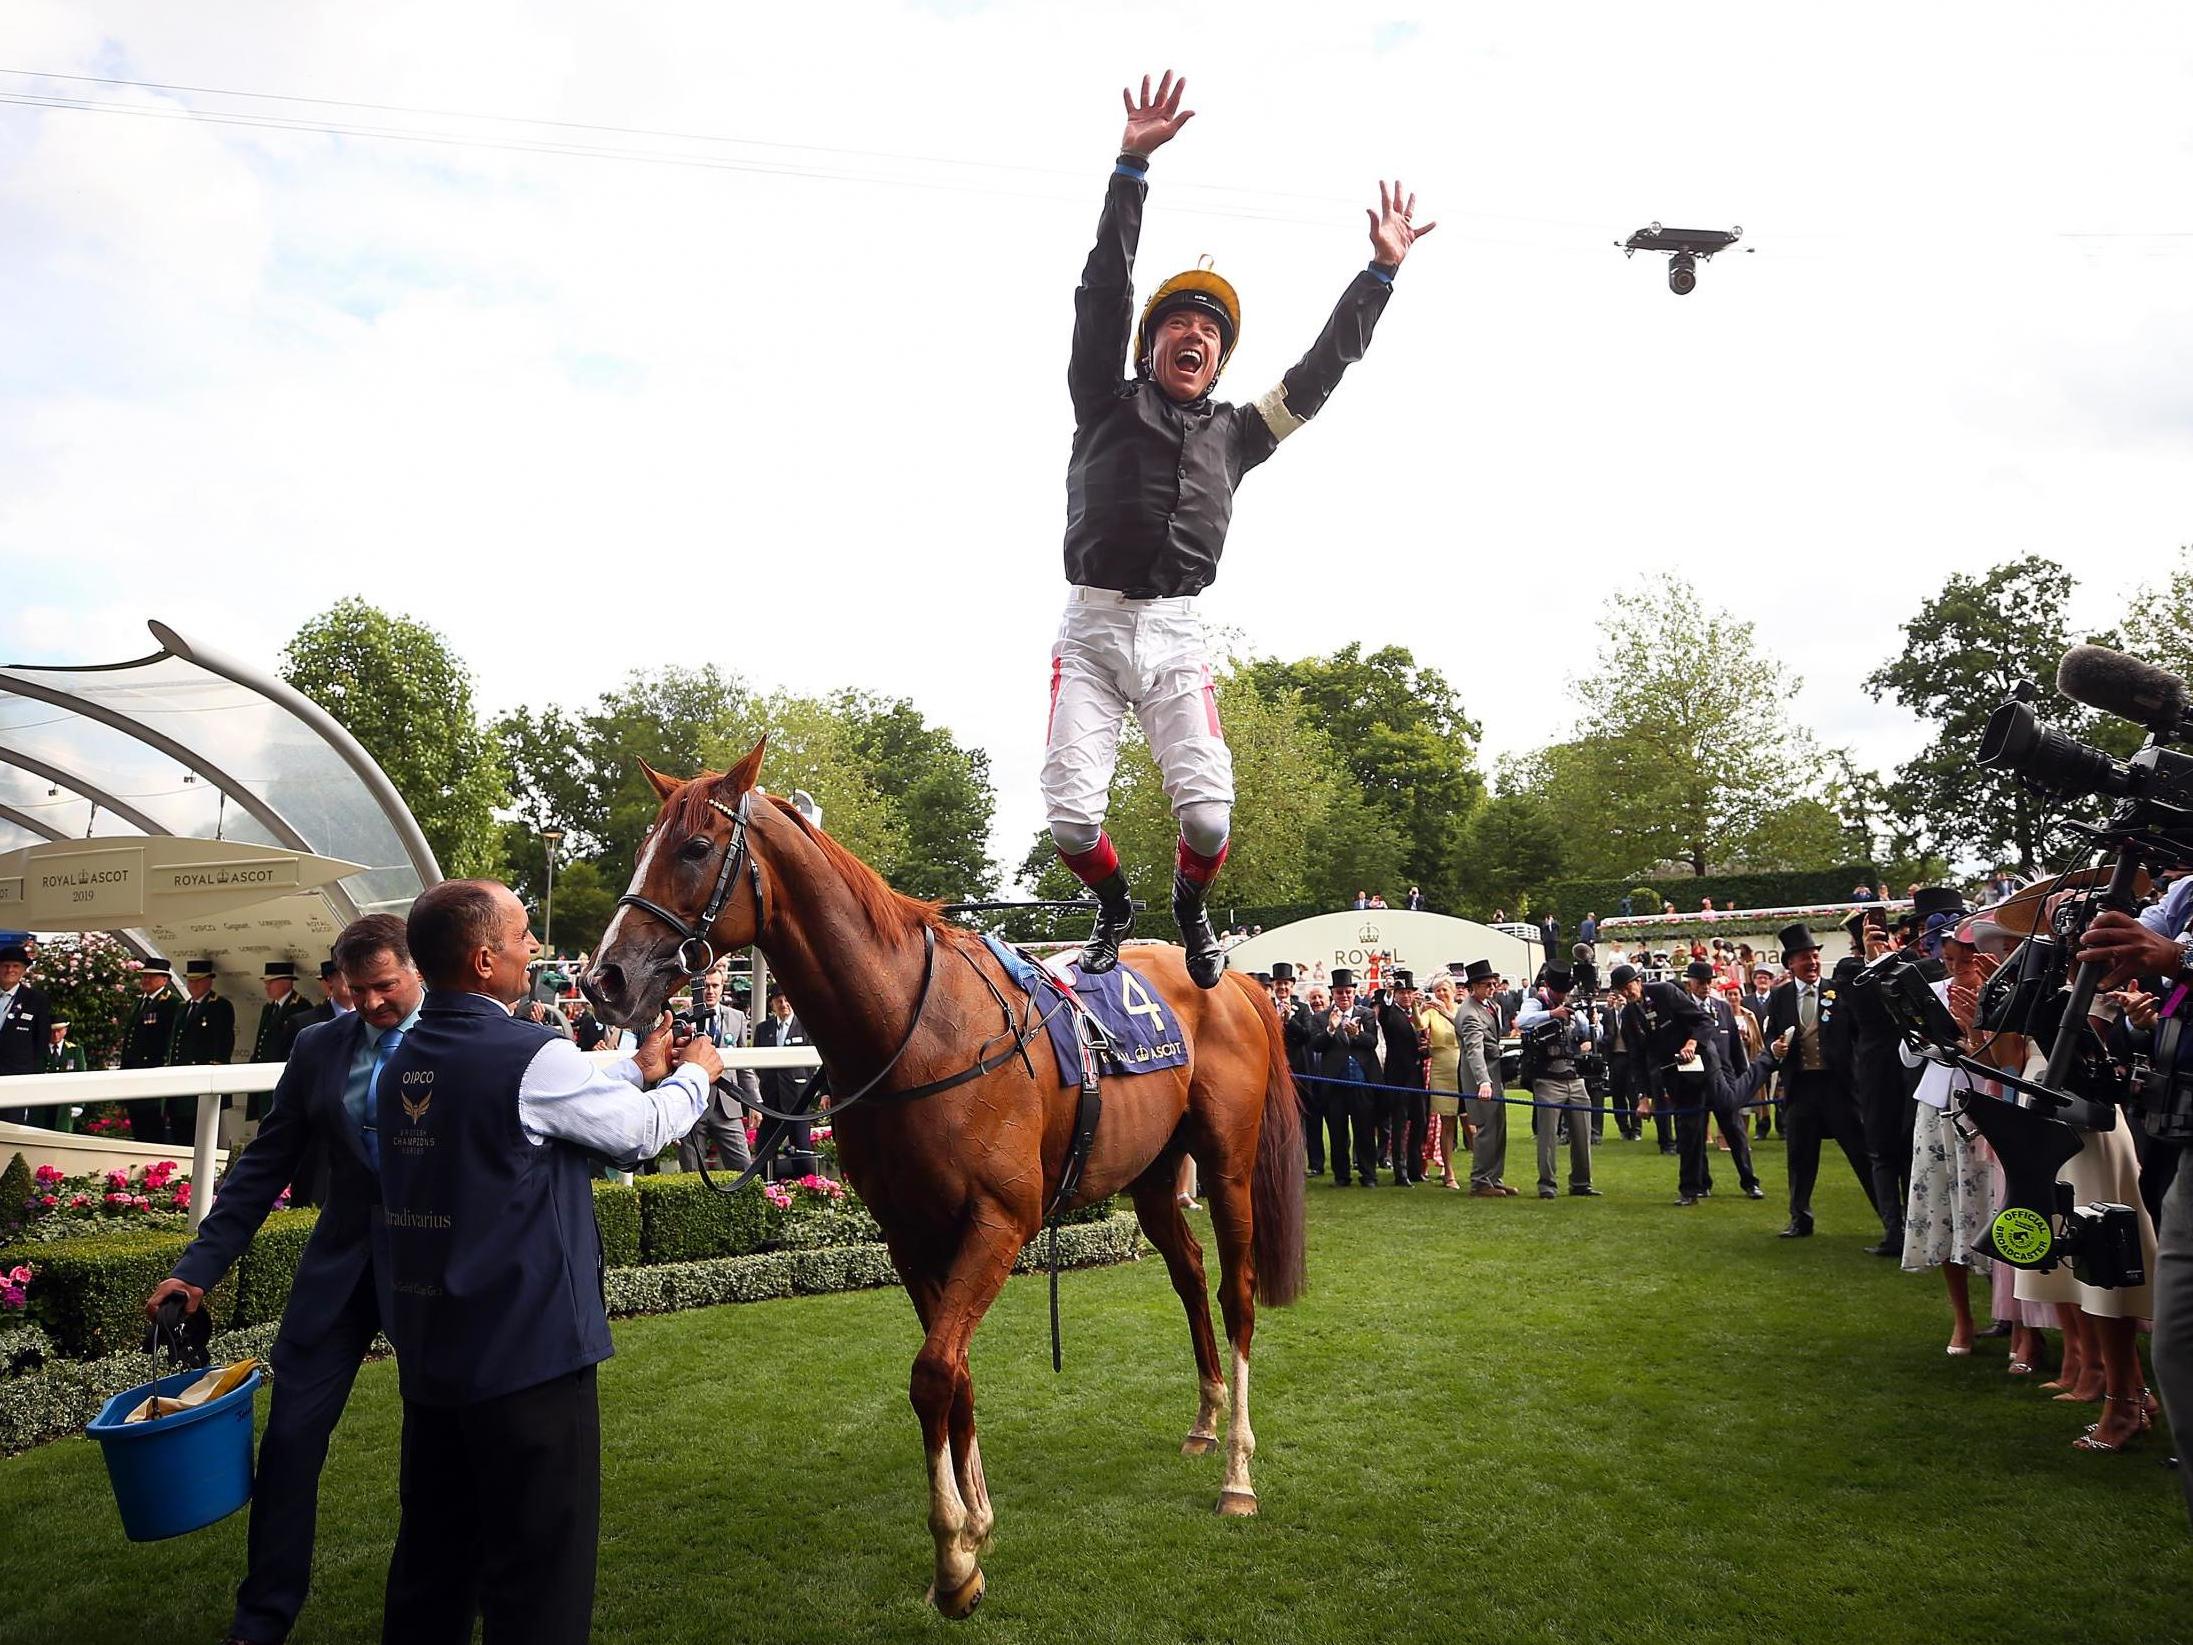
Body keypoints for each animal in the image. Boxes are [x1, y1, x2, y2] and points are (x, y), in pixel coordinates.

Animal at [578, 745, 1298, 1623]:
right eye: (644, 844)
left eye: (692, 847)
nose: (606, 976)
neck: (915, 1032)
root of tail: (1231, 978)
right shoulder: (909, 1232)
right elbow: (953, 1374)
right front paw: (975, 1523)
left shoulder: (998, 1221)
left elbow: (931, 1375)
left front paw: (954, 1559)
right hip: (1155, 1174)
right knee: (1189, 1272)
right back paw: (1202, 1420)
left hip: (1225, 1164)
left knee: (1235, 1294)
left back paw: (1237, 1472)